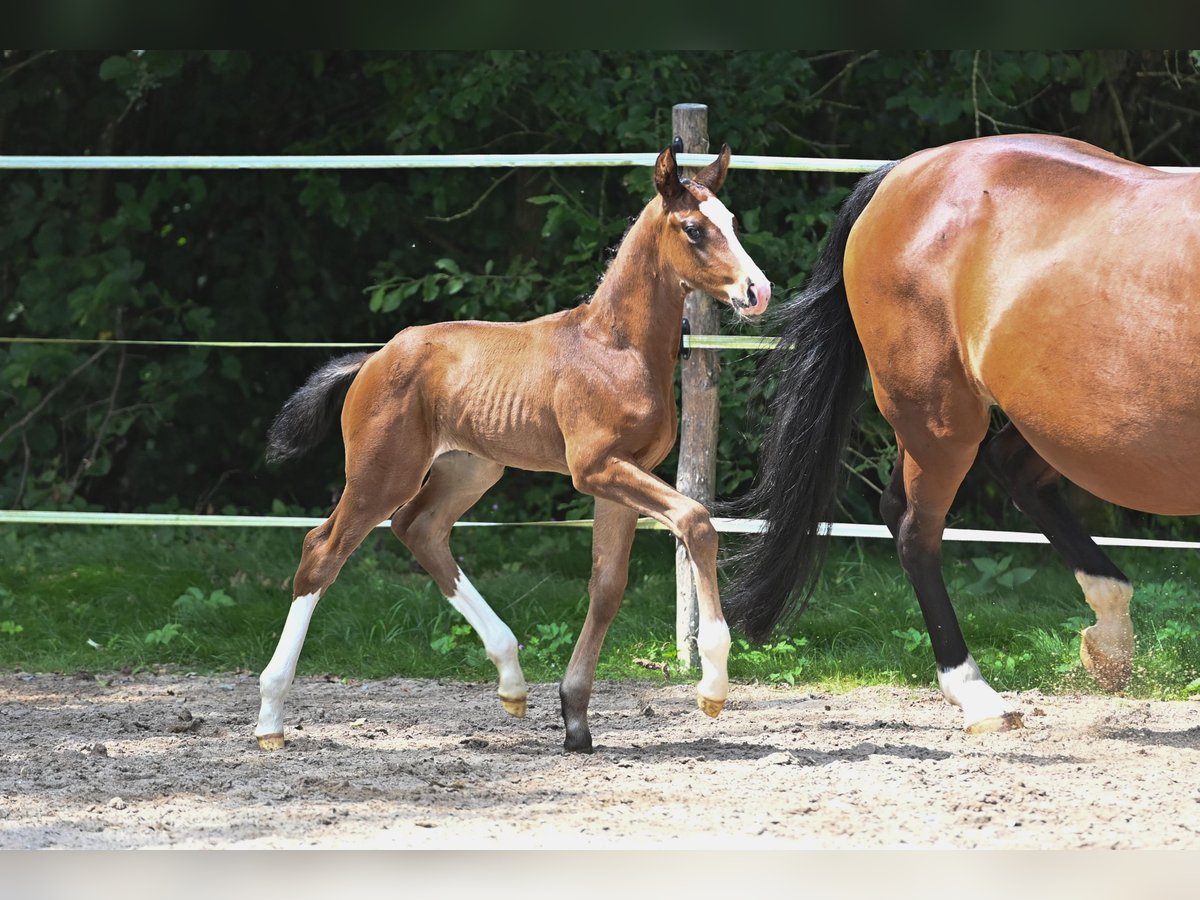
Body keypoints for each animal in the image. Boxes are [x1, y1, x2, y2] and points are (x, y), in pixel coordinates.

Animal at [258, 146, 772, 753]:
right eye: (694, 228)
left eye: (733, 222)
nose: (757, 292)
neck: (616, 347)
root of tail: (374, 358)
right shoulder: (595, 469)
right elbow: (696, 521)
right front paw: (713, 684)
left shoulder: (624, 475)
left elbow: (607, 584)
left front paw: (575, 719)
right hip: (382, 473)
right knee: (323, 550)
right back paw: (270, 717)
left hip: (471, 469)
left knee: (420, 528)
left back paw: (511, 678)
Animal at [724, 133, 1195, 734]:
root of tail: (902, 173)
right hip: (942, 419)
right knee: (915, 531)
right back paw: (977, 694)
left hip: (1050, 421)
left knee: (996, 477)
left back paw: (1108, 644)